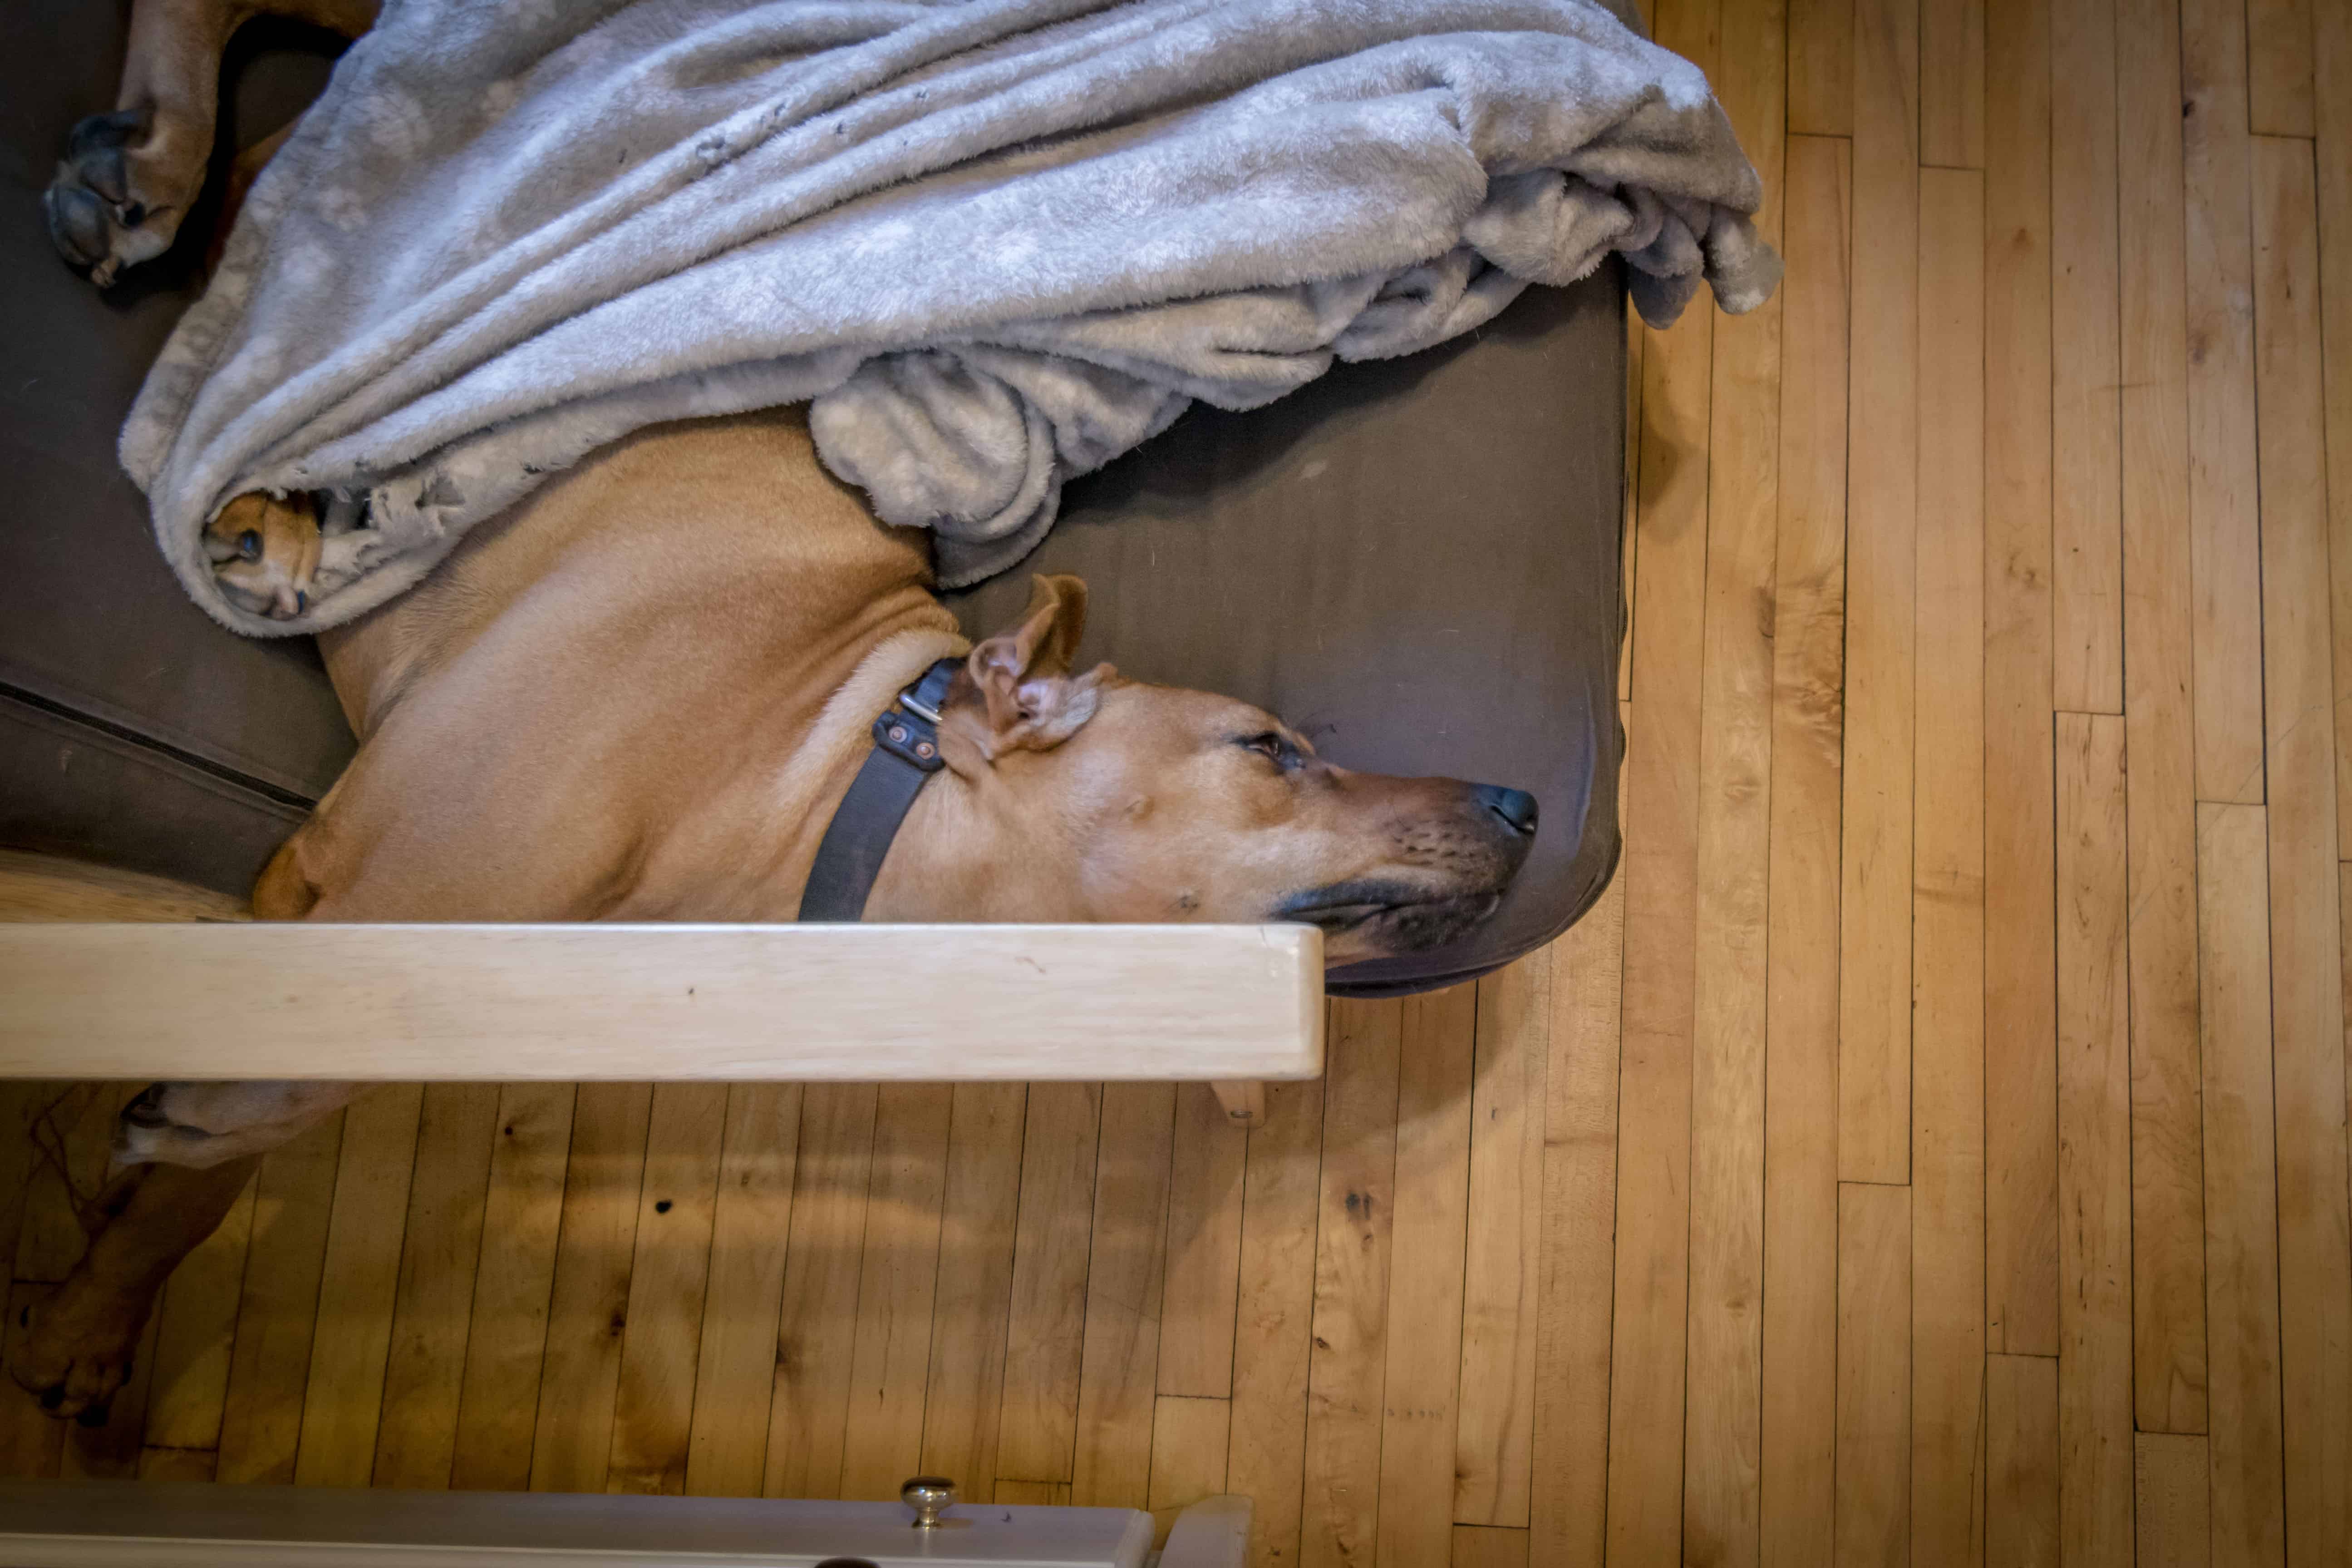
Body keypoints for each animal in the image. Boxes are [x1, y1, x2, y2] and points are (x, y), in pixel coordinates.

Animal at [18, 0, 1543, 1420]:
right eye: (1266, 747)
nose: (1523, 797)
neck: (811, 766)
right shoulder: (363, 891)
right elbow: (276, 1077)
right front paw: (143, 1191)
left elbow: (242, 1138)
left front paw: (102, 1298)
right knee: (273, 196)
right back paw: (208, 330)